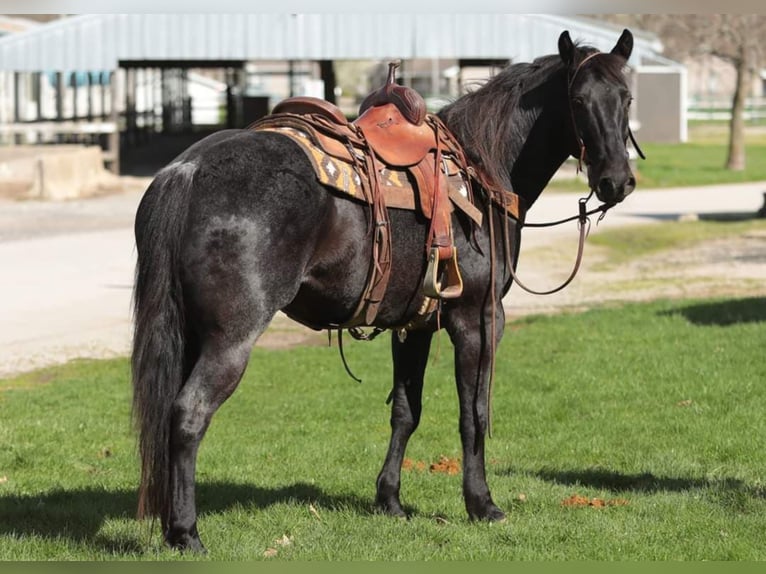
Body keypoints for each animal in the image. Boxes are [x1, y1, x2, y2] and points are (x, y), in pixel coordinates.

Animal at [134, 29, 640, 552]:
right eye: (578, 101)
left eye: (626, 98)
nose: (616, 182)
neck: (482, 171)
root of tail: (188, 169)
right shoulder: (478, 319)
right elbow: (473, 413)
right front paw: (482, 504)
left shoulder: (413, 325)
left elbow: (406, 410)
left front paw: (390, 500)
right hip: (231, 340)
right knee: (188, 415)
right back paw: (186, 533)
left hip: (190, 334)